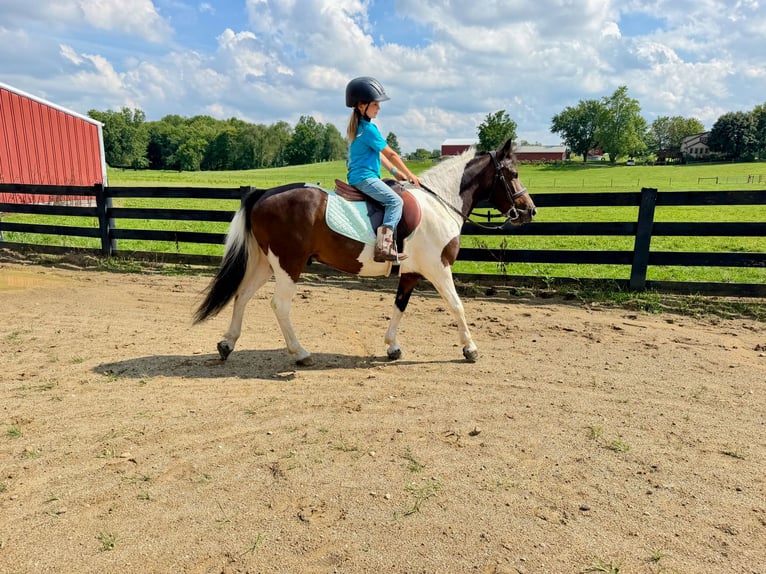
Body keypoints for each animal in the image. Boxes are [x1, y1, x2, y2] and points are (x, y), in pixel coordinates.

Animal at [193, 138, 536, 366]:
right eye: (513, 174)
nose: (530, 210)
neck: (439, 203)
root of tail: (264, 194)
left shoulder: (411, 272)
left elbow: (400, 306)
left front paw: (392, 347)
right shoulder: (438, 268)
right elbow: (456, 305)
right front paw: (470, 349)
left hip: (266, 263)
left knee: (242, 295)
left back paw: (226, 344)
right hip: (289, 265)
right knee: (279, 305)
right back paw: (301, 353)